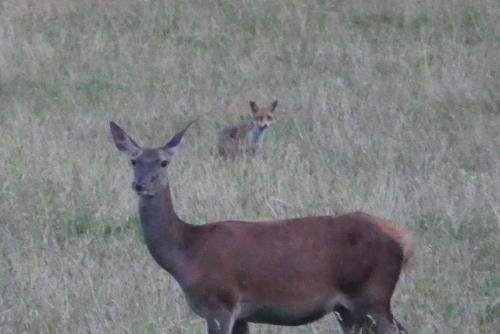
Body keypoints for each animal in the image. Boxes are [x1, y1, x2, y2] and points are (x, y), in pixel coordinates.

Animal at [109, 120, 414, 334]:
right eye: (134, 161)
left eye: (164, 162)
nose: (141, 184)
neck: (186, 254)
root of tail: (403, 240)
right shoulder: (242, 315)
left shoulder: (220, 302)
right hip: (349, 309)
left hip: (373, 295)